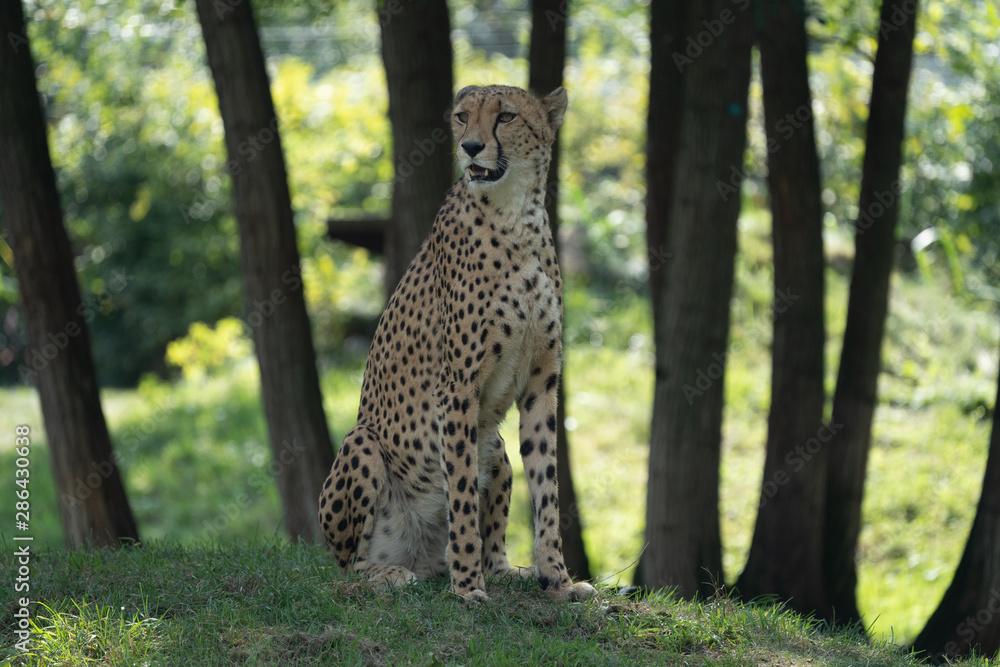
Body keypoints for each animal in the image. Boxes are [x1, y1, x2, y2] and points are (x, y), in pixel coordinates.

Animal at [318, 84, 596, 604]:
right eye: (463, 116)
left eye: (506, 116)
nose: (470, 147)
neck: (515, 217)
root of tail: (420, 557)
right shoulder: (456, 389)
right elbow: (462, 493)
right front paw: (467, 588)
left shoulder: (542, 381)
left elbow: (546, 486)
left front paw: (557, 579)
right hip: (363, 442)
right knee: (348, 568)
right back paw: (393, 573)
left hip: (499, 451)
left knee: (493, 536)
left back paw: (509, 572)